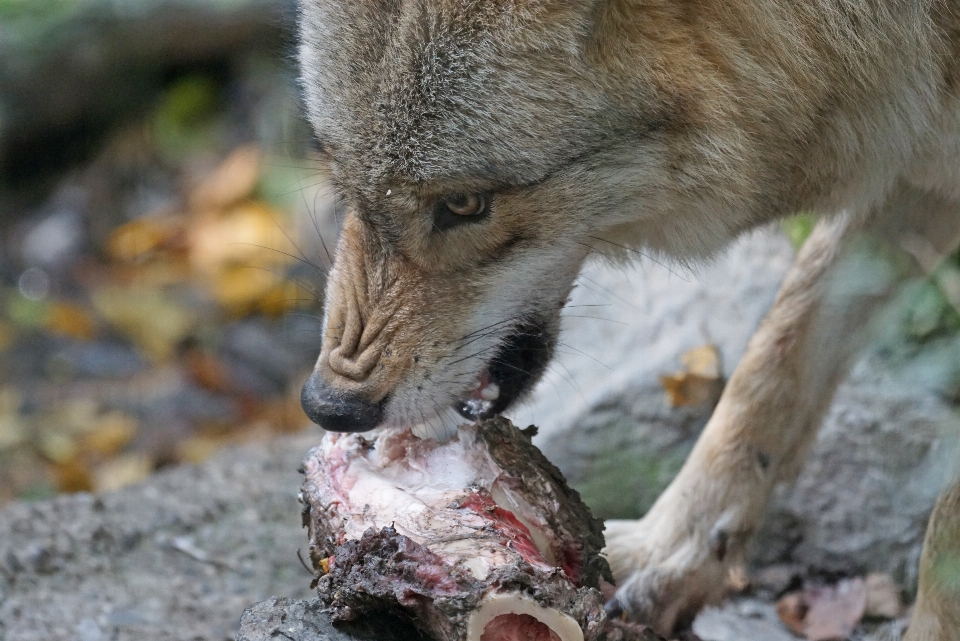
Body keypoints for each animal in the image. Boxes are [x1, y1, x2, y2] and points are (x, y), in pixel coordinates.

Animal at [296, 2, 956, 636]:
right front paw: (666, 555)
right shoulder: (908, 169)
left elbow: (943, 524)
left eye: (464, 204)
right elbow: (769, 367)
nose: (329, 406)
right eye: (342, 179)